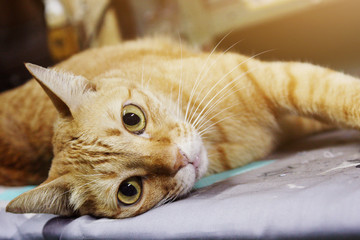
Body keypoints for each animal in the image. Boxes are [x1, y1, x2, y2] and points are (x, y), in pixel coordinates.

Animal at [0, 36, 354, 218]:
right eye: (130, 190)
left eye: (132, 118)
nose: (180, 158)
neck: (219, 136)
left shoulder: (278, 79)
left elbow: (340, 95)